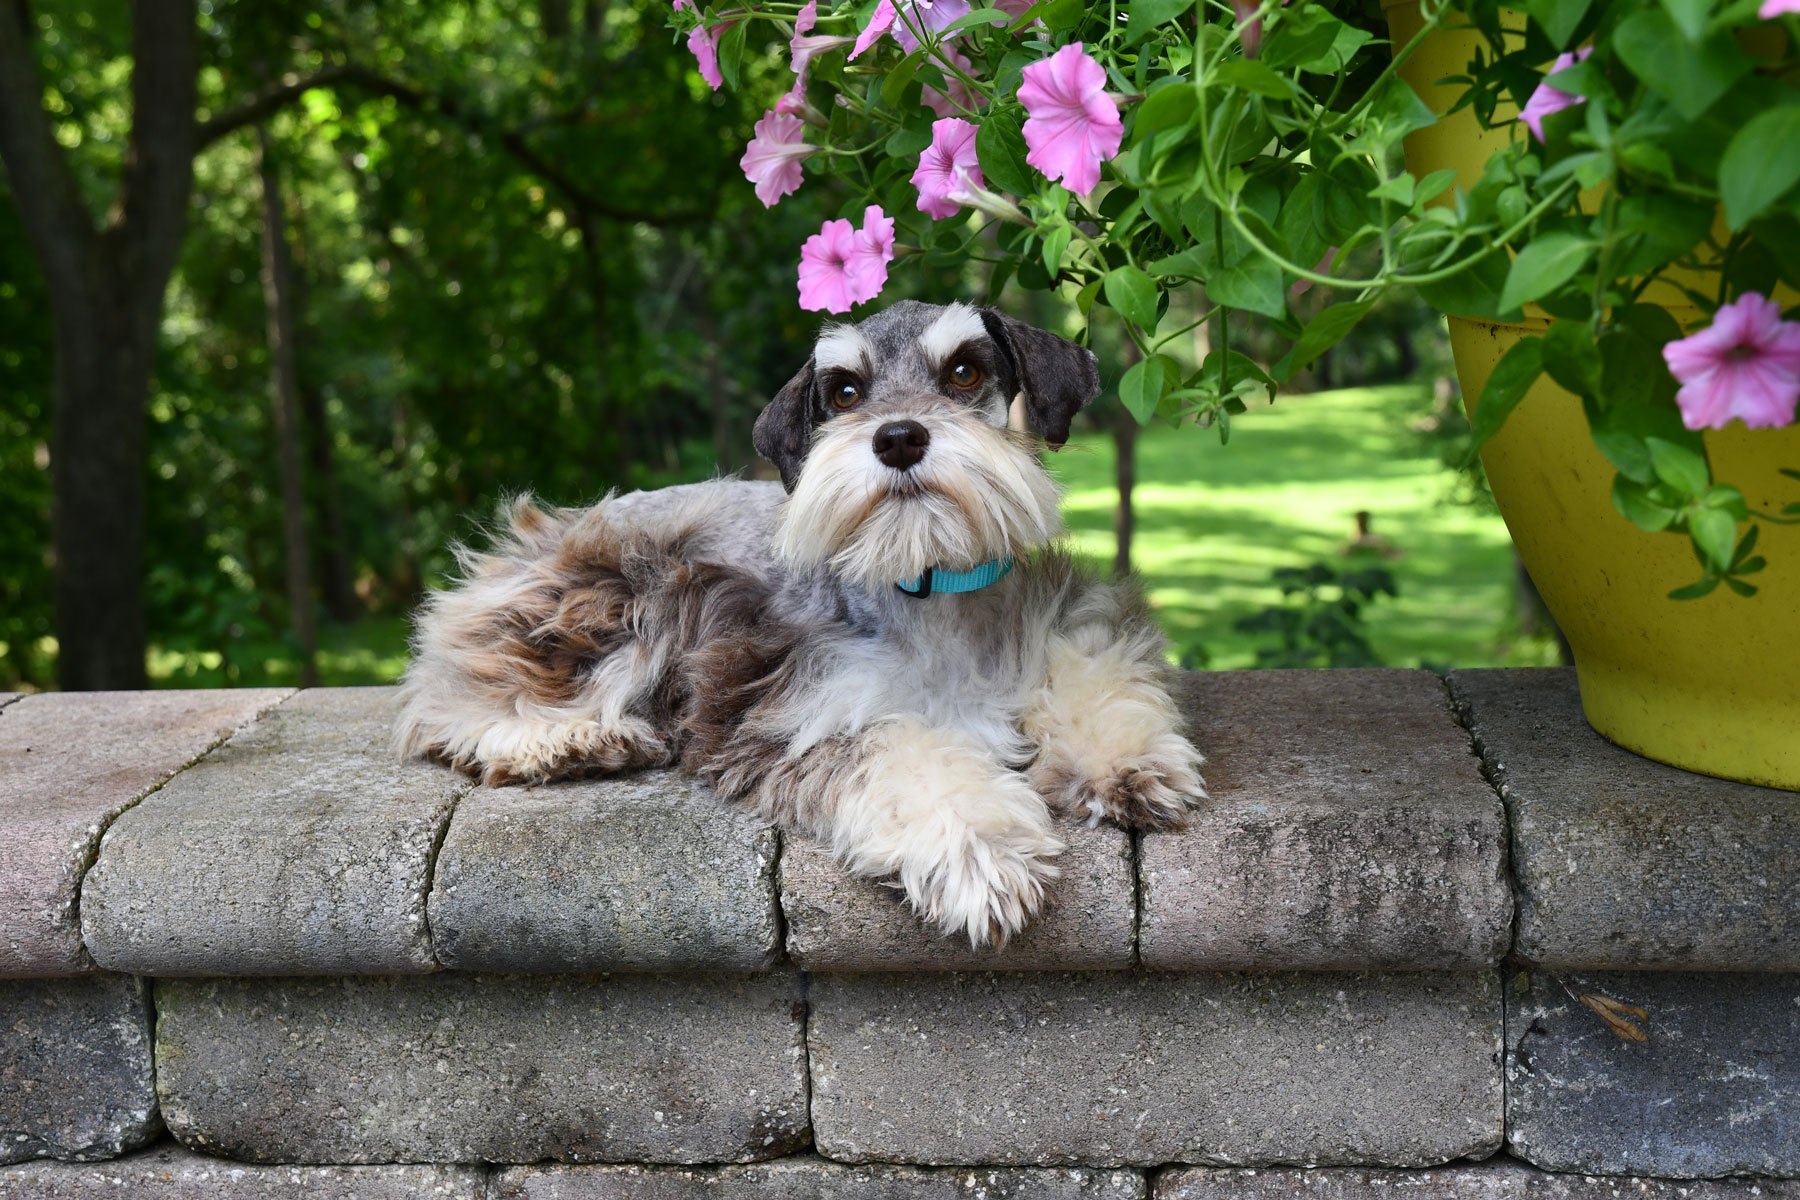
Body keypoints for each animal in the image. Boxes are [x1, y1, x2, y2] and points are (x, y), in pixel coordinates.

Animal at [396, 300, 1209, 949]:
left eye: (965, 371)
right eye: (844, 390)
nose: (899, 437)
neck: (928, 592)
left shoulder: (1073, 619)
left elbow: (1091, 674)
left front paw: (1128, 759)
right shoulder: (793, 706)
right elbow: (903, 752)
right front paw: (981, 847)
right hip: (615, 597)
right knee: (460, 693)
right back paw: (568, 740)